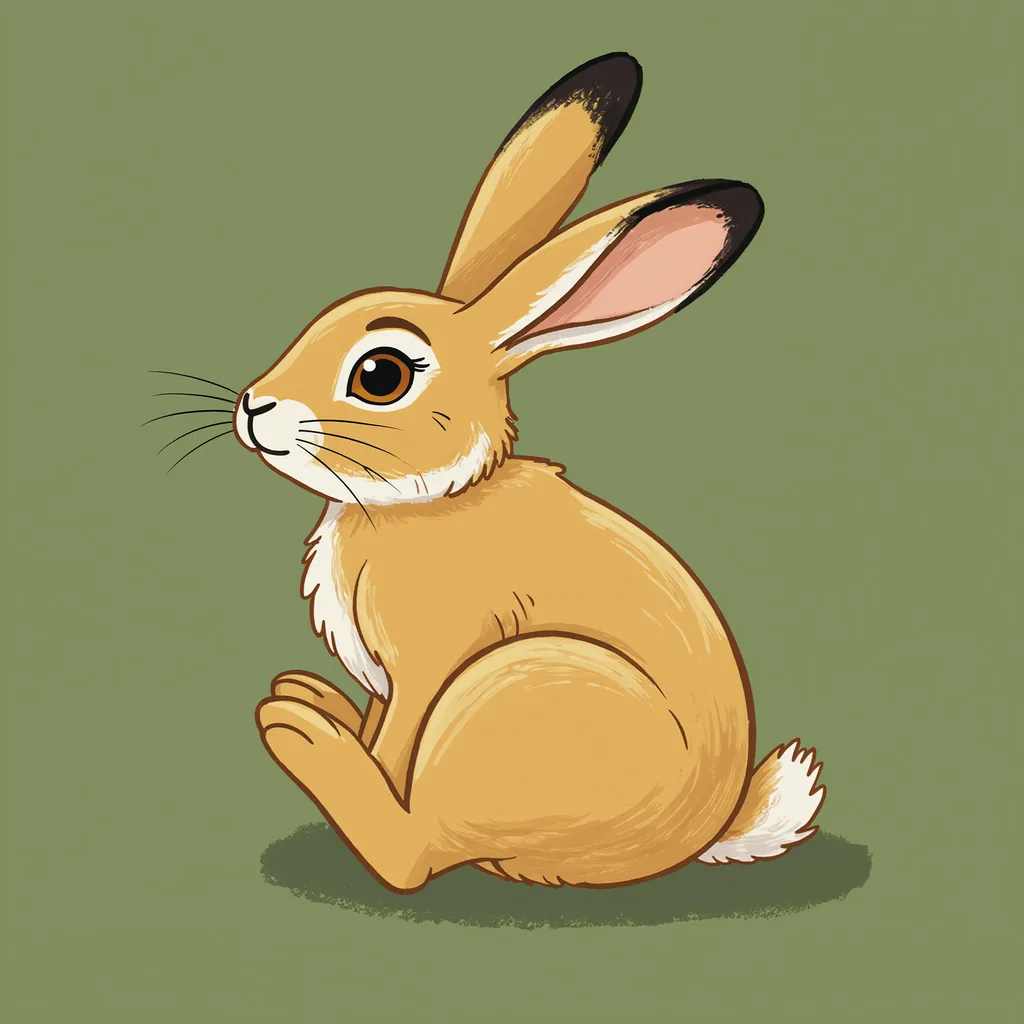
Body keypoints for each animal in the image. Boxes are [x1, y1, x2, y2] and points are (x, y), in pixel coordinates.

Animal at [236, 52, 825, 892]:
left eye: (380, 374)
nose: (255, 406)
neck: (426, 502)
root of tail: (703, 834)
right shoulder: (388, 682)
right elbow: (381, 729)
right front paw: (330, 707)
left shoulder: (427, 668)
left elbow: (395, 752)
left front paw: (339, 745)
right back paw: (309, 704)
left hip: (509, 695)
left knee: (413, 854)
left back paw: (302, 735)